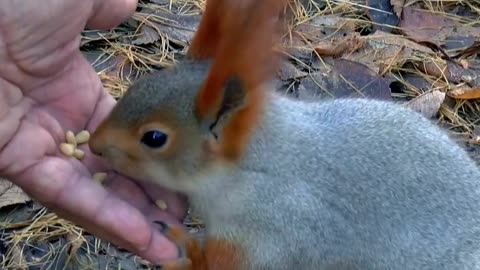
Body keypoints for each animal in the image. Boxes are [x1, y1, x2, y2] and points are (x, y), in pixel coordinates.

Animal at [87, 0, 480, 268]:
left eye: (154, 138)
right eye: (138, 86)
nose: (94, 145)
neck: (254, 164)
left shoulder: (273, 228)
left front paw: (184, 248)